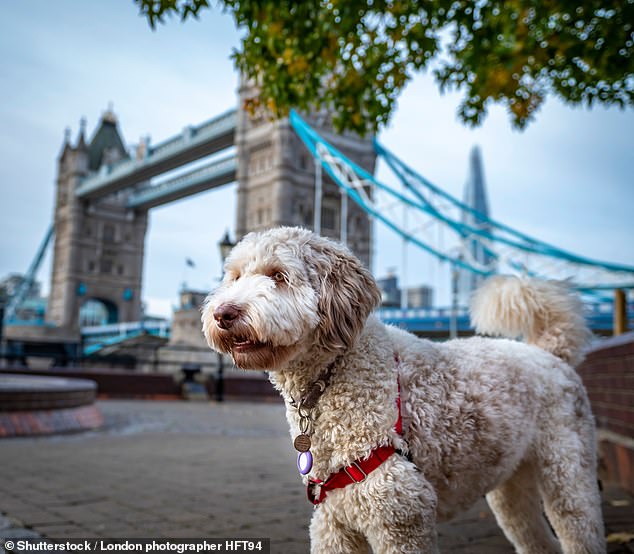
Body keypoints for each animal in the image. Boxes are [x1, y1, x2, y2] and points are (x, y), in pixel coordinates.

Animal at [201, 225, 604, 552]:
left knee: (578, 526)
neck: (335, 376)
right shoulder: (333, 522)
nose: (223, 313)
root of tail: (549, 352)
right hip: (511, 484)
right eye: (234, 277)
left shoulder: (399, 510)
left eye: (279, 276)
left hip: (568, 472)